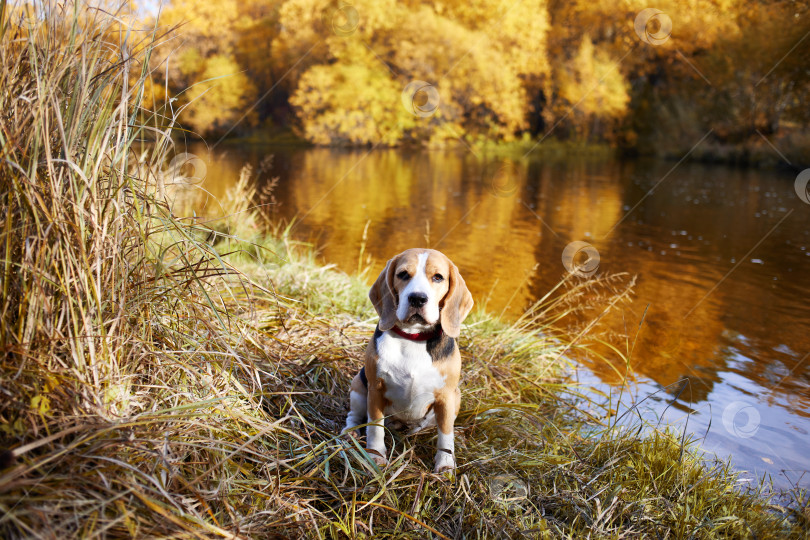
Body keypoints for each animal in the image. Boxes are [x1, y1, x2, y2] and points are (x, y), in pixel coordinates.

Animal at [342, 249, 470, 472]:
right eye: (402, 274)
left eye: (438, 277)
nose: (417, 298)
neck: (413, 337)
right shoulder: (375, 389)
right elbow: (375, 426)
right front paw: (375, 456)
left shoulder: (446, 396)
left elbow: (446, 433)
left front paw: (445, 465)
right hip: (359, 385)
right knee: (354, 416)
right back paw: (351, 432)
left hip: (457, 397)